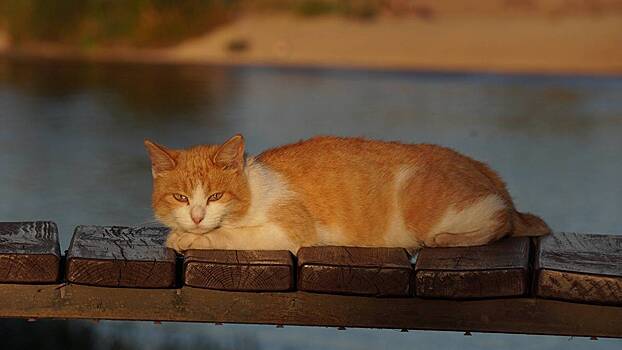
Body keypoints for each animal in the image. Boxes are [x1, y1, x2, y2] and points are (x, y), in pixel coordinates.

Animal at [145, 135, 552, 254]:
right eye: (181, 198)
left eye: (215, 196)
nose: (197, 215)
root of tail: (482, 168)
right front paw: (184, 232)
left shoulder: (289, 231)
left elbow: (230, 236)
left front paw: (190, 238)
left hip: (435, 210)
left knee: (502, 219)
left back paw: (448, 238)